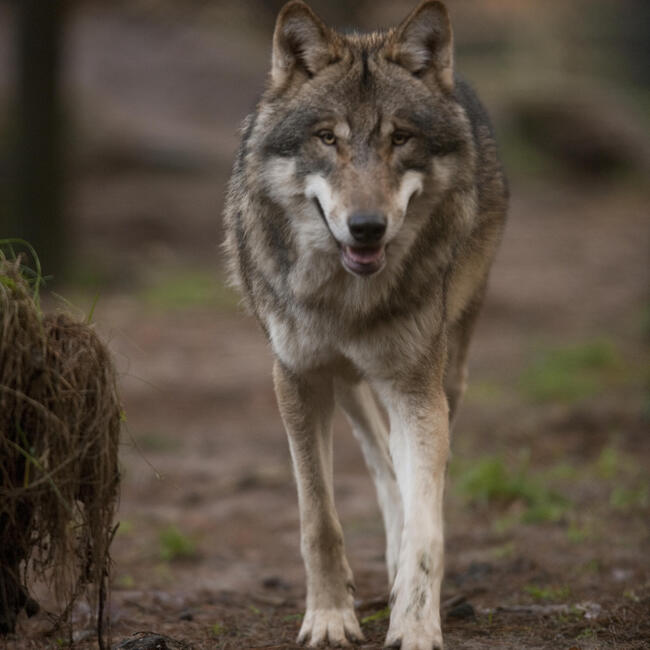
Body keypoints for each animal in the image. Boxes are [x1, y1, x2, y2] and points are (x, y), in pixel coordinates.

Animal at [223, 1, 508, 647]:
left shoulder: (417, 388)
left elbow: (428, 523)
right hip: (343, 380)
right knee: (379, 456)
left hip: (447, 372)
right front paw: (330, 617)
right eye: (327, 138)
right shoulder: (297, 379)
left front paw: (415, 622)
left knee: (410, 471)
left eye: (400, 138)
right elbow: (318, 518)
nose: (367, 227)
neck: (347, 298)